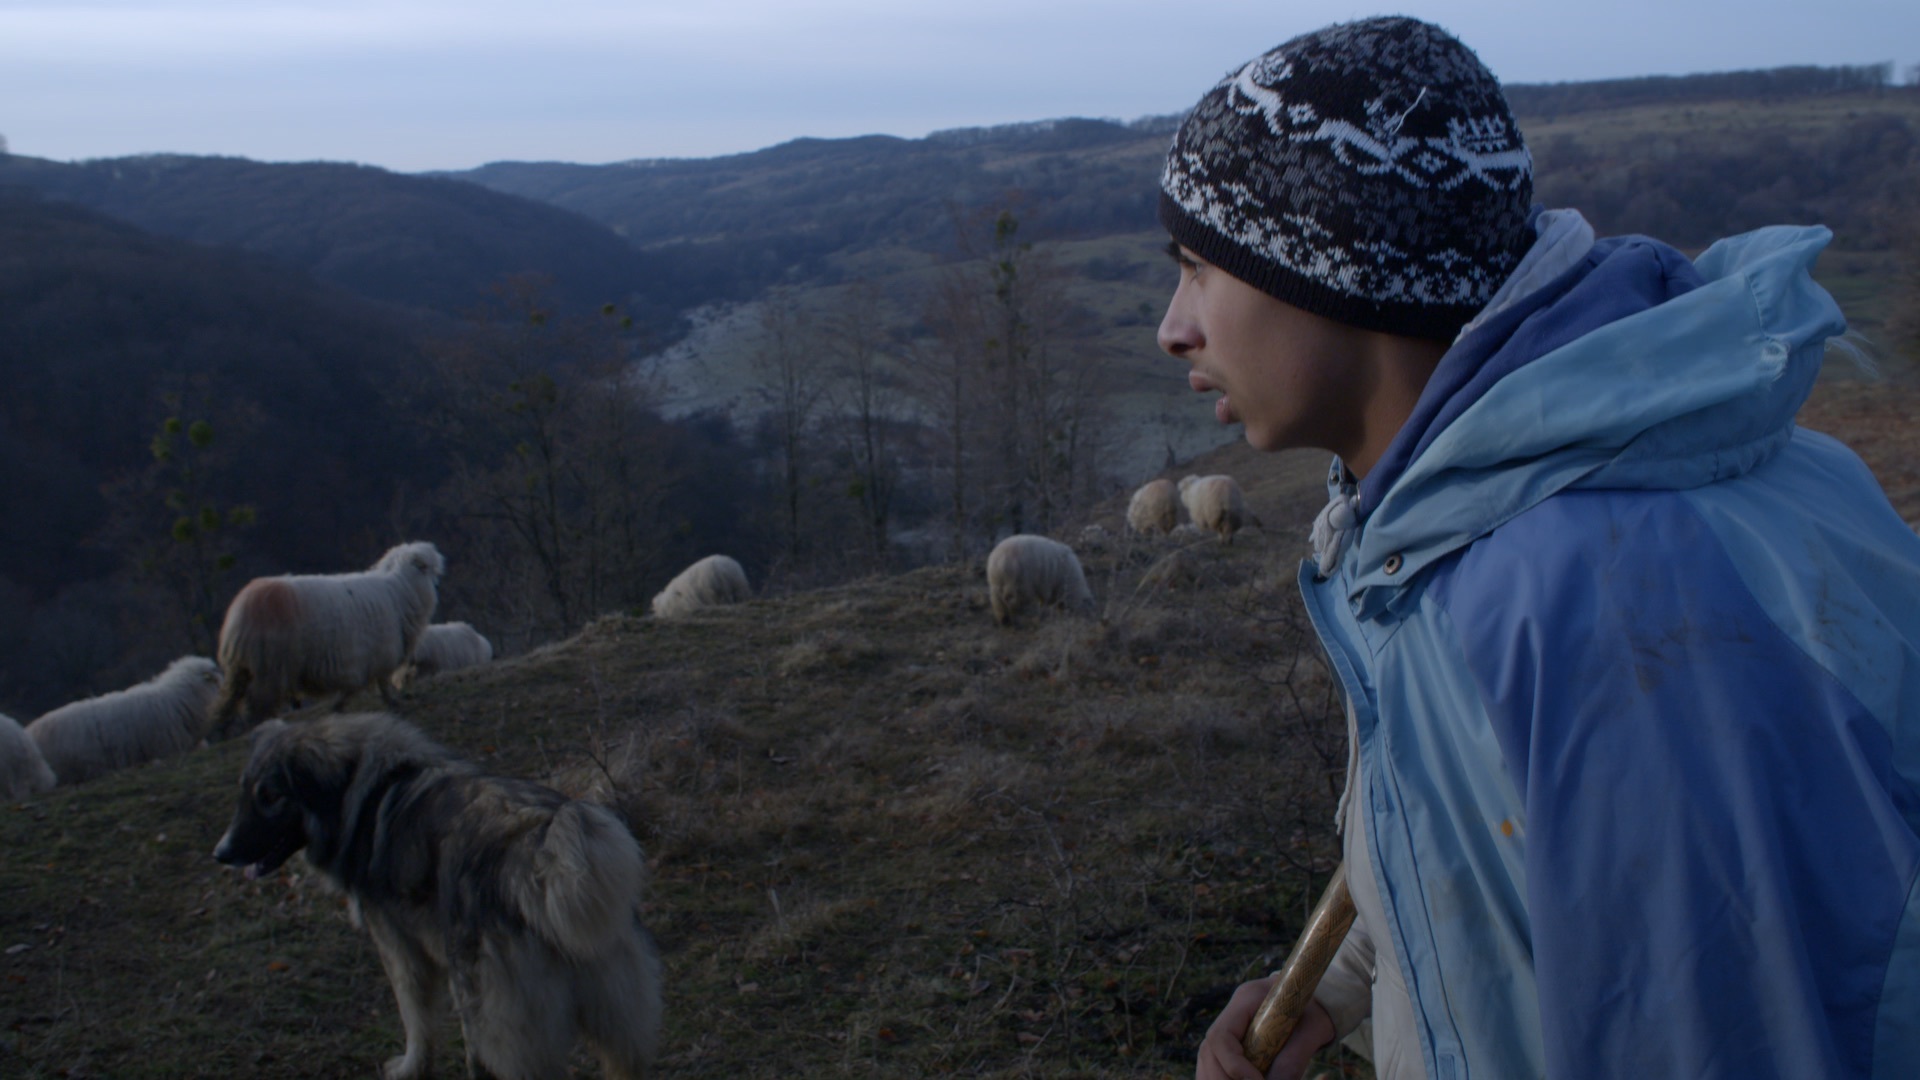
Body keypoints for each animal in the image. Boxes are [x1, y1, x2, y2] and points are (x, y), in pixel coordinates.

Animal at [212, 538, 443, 730]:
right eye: (428, 569)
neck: (400, 591)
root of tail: (240, 613)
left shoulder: (363, 661)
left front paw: (338, 706)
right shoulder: (378, 655)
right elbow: (380, 683)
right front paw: (392, 702)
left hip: (241, 668)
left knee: (231, 702)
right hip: (269, 668)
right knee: (257, 705)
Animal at [213, 711, 664, 1068]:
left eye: (270, 797)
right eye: (244, 792)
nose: (221, 853)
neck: (358, 789)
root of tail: (537, 853)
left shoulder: (397, 948)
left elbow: (415, 1022)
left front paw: (409, 1068)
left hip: (485, 1029)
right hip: (618, 1029)